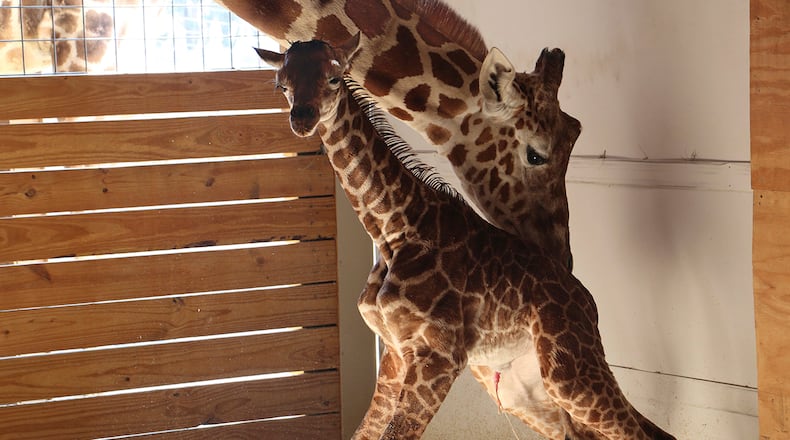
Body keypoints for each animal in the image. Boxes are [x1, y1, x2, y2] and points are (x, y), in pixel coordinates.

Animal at [255, 36, 675, 440]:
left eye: (333, 78)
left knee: (641, 433)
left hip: (568, 373)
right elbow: (365, 433)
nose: (302, 119)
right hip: (520, 389)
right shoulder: (394, 353)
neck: (392, 229)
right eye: (281, 85)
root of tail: (589, 305)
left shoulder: (439, 354)